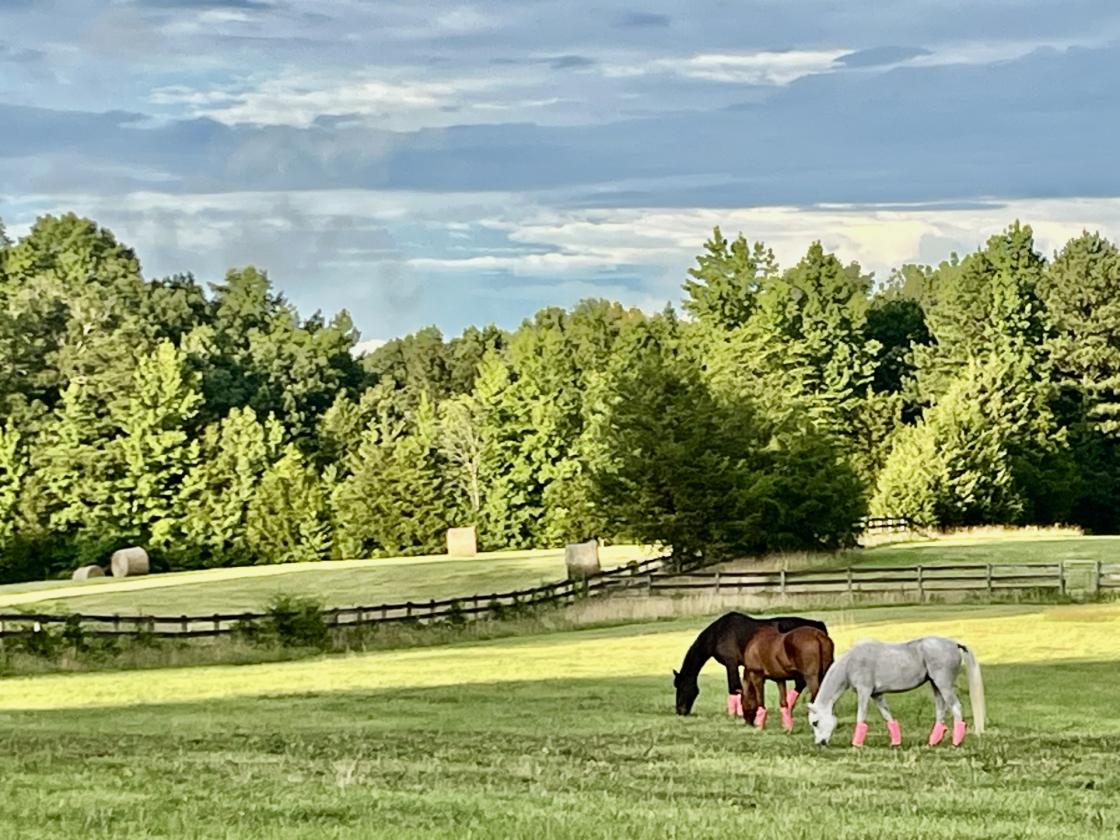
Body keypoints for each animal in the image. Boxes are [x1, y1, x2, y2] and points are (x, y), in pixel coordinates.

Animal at [672, 611, 828, 716]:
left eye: (681, 687)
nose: (680, 711)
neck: (718, 633)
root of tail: (818, 625)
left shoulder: (731, 663)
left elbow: (734, 687)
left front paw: (737, 713)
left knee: (802, 683)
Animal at [806, 636, 986, 748]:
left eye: (815, 722)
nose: (820, 743)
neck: (851, 662)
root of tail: (954, 644)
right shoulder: (876, 695)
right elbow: (887, 716)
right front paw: (895, 743)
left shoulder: (864, 692)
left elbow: (861, 717)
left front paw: (856, 744)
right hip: (936, 686)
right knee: (941, 710)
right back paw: (933, 742)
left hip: (944, 685)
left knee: (956, 708)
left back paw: (956, 742)